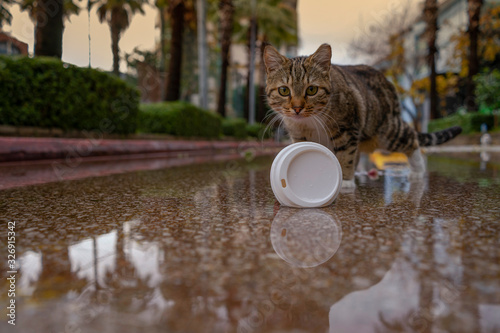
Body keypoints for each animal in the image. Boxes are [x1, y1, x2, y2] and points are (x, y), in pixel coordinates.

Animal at [264, 44, 462, 188]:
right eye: (283, 90)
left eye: (312, 89)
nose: (297, 108)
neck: (310, 122)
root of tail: (387, 83)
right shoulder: (298, 135)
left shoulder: (347, 129)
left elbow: (345, 155)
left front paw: (345, 181)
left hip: (387, 131)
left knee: (410, 138)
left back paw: (418, 169)